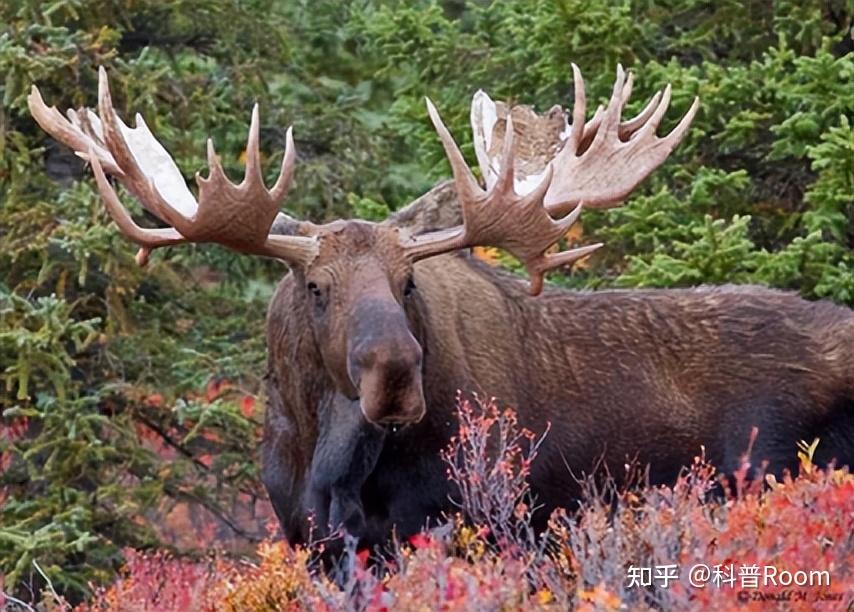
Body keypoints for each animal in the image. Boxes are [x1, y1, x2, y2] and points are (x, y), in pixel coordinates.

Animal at [29, 65, 854, 550]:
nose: (394, 372)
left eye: (409, 283)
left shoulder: (475, 521)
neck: (327, 464)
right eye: (314, 287)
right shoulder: (307, 537)